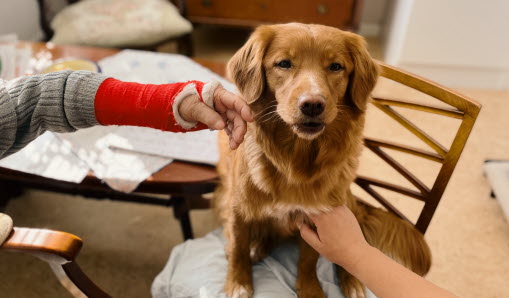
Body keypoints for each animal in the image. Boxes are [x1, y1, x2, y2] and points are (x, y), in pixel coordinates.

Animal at [213, 23, 428, 298]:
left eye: (336, 66)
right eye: (284, 63)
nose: (313, 105)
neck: (296, 159)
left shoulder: (319, 217)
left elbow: (309, 259)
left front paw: (310, 289)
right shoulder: (239, 209)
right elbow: (239, 247)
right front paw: (239, 282)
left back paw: (352, 282)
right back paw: (256, 246)